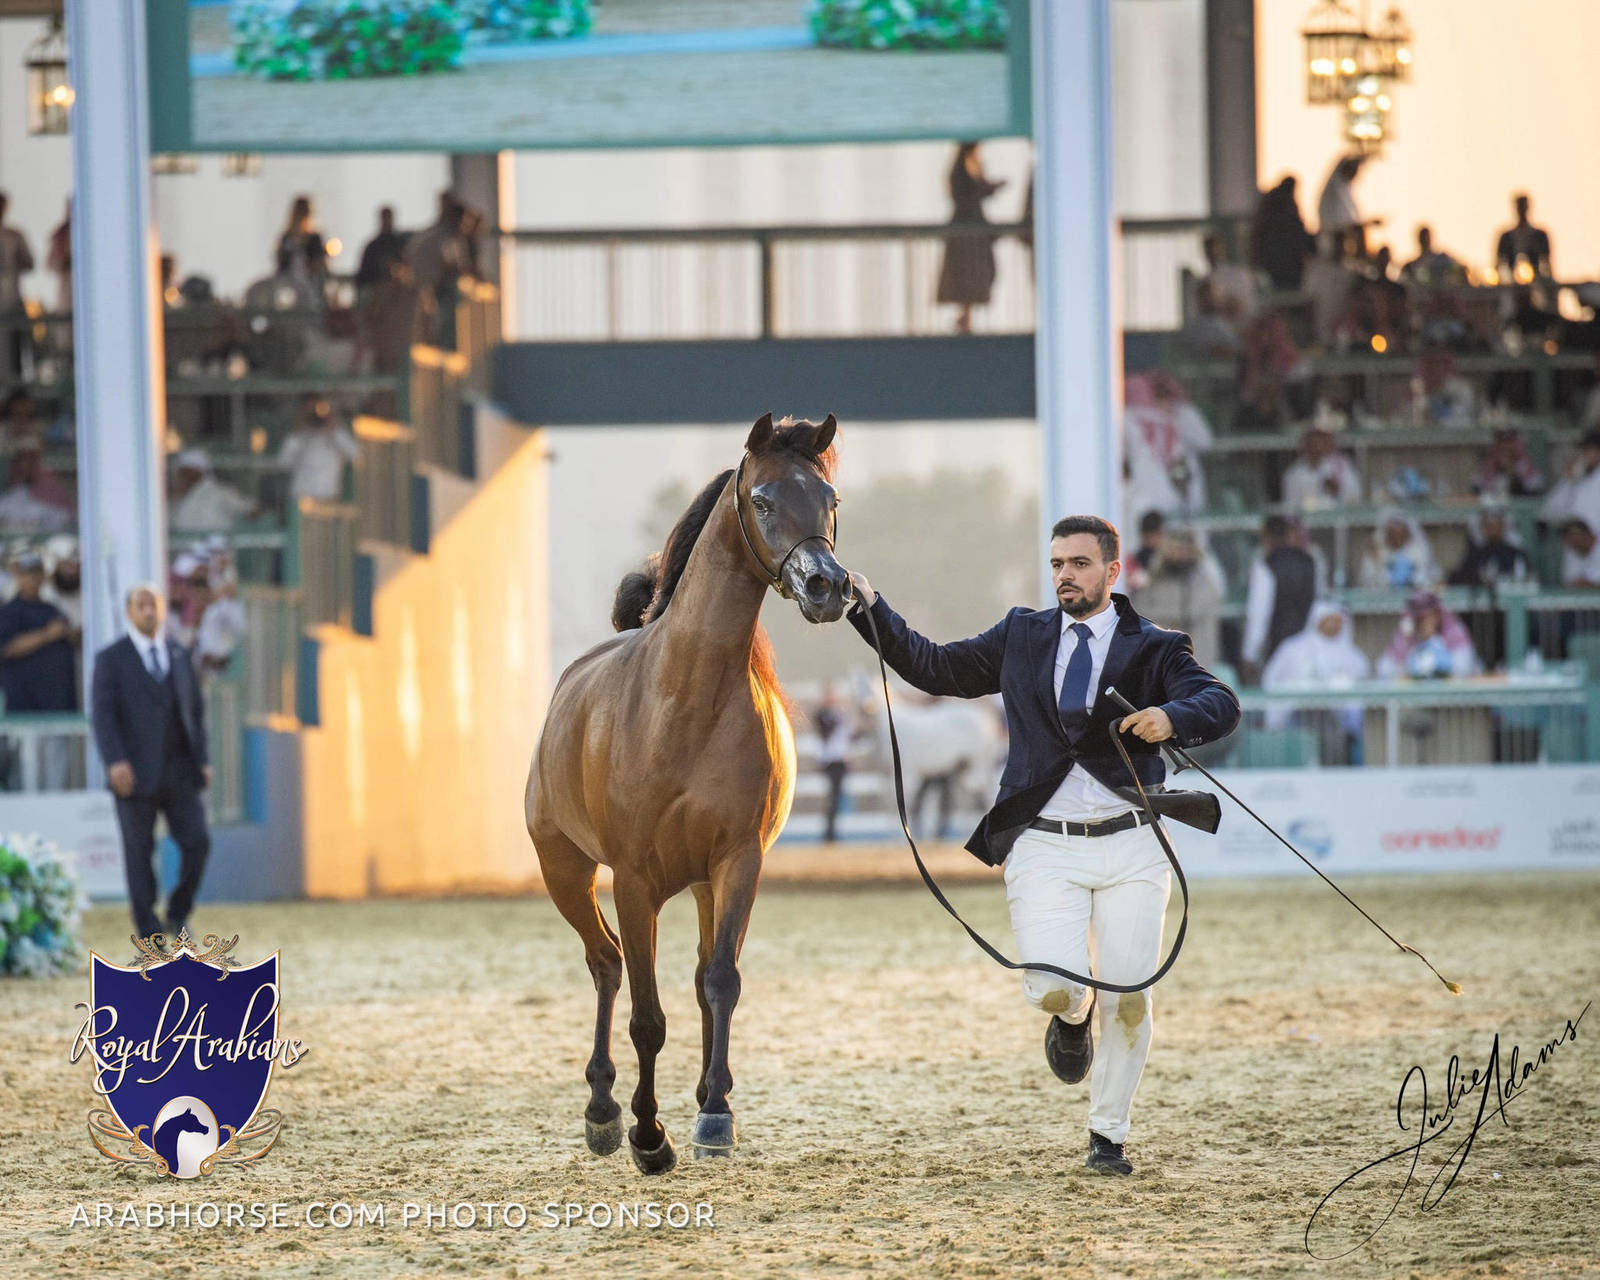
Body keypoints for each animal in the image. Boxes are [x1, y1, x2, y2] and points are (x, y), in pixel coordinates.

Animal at [525, 412, 850, 1174]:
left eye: (830, 499)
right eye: (762, 499)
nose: (827, 586)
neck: (684, 699)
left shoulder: (737, 863)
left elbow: (720, 982)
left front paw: (713, 1115)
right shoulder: (633, 880)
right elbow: (647, 1016)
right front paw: (650, 1136)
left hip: (701, 884)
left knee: (697, 976)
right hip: (566, 872)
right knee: (606, 963)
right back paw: (604, 1111)